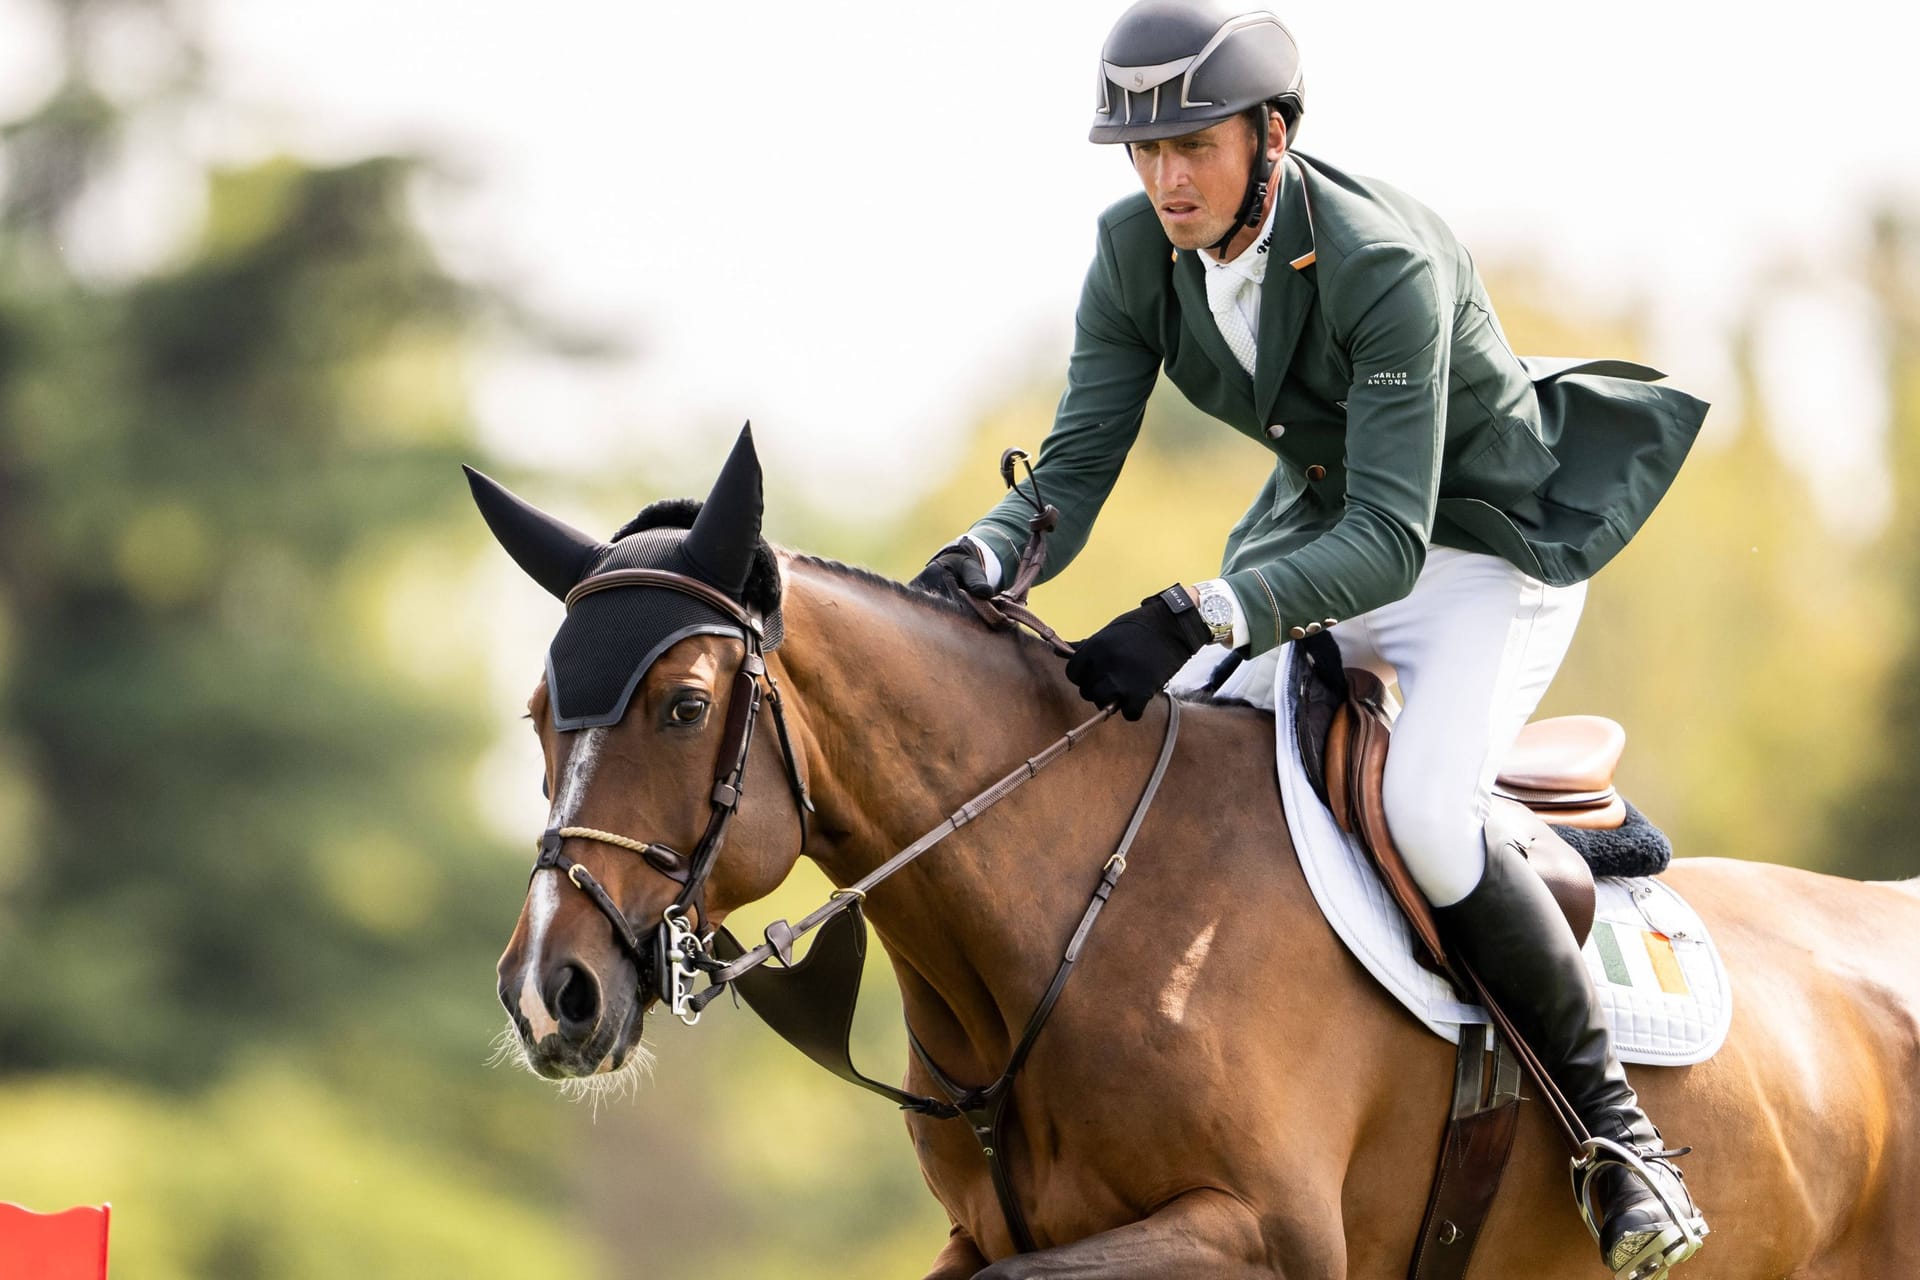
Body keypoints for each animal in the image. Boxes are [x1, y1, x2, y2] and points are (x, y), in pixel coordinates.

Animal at [476, 435, 1920, 1274]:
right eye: (539, 716)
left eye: (681, 705)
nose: (552, 994)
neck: (1071, 914)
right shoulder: (986, 1232)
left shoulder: (1266, 1235)